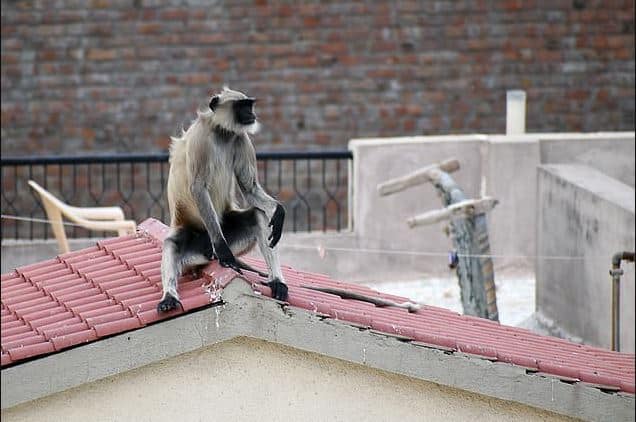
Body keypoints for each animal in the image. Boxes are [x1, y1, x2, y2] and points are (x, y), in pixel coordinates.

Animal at [159, 87, 288, 312]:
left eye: (249, 105)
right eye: (242, 106)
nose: (251, 114)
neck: (222, 132)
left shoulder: (241, 138)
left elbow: (250, 189)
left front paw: (278, 212)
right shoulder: (201, 138)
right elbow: (198, 187)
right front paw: (224, 251)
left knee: (257, 215)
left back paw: (277, 281)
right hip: (195, 239)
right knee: (172, 244)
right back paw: (169, 296)